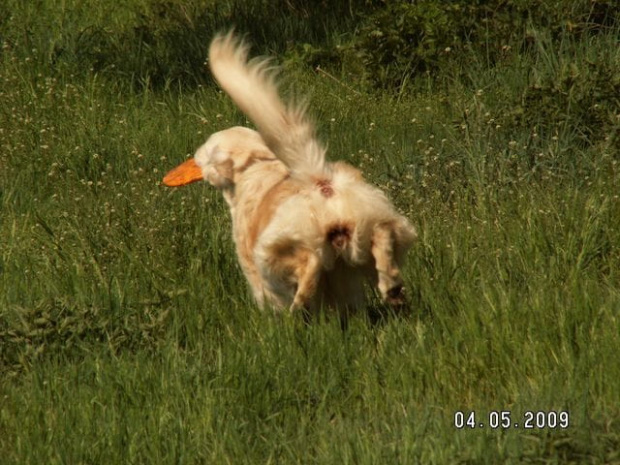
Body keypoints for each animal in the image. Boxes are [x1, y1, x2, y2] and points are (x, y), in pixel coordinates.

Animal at [165, 32, 416, 316]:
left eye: (205, 155)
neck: (256, 167)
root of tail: (322, 183)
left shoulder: (254, 267)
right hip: (372, 227)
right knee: (383, 236)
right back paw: (392, 288)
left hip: (274, 253)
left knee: (311, 263)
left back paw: (300, 305)